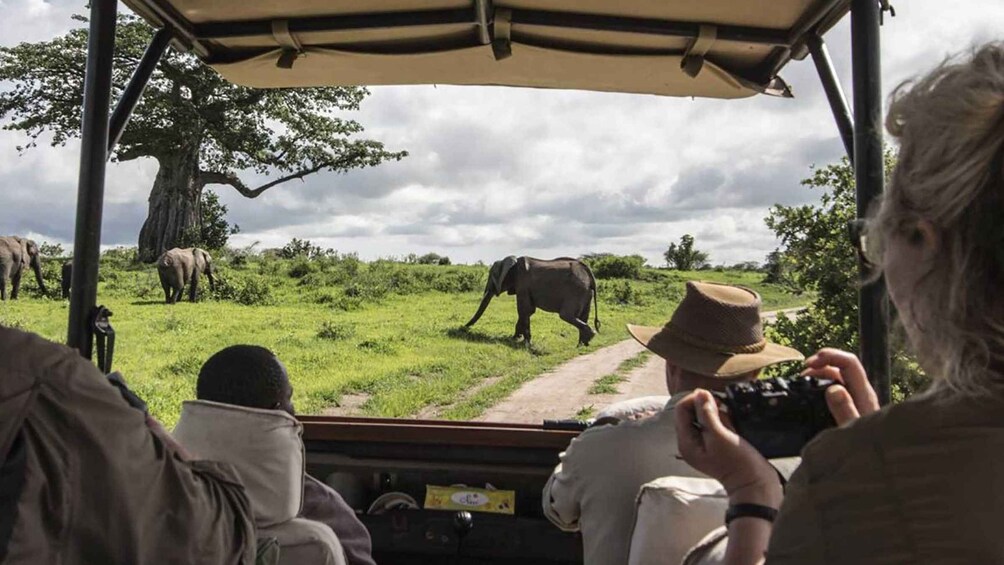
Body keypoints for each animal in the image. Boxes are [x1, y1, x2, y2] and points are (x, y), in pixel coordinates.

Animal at [465, 256, 598, 345]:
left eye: (491, 276)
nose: (464, 327)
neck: (512, 263)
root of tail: (590, 274)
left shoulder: (523, 284)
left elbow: (524, 310)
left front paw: (525, 344)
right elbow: (527, 312)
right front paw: (514, 339)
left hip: (576, 291)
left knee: (566, 315)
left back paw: (591, 336)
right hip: (586, 293)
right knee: (583, 316)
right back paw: (582, 345)